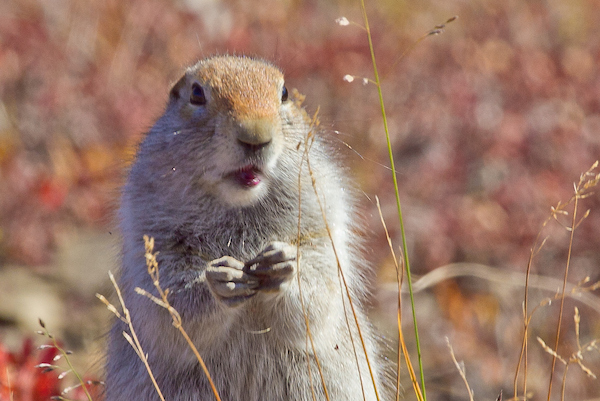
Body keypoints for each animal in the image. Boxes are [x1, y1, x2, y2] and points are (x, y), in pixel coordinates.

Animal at [105, 55, 382, 400]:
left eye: (284, 93)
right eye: (196, 94)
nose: (255, 136)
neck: (240, 206)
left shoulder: (323, 230)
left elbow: (320, 289)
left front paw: (282, 265)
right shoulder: (152, 241)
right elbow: (169, 303)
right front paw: (223, 278)